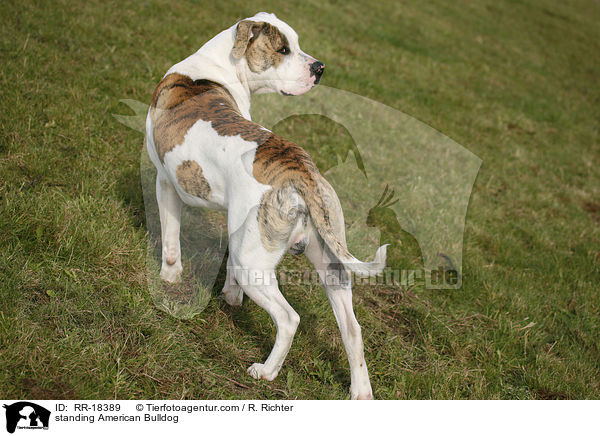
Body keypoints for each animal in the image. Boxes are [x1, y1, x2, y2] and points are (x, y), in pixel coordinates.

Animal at [147, 11, 386, 398]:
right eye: (285, 48)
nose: (319, 67)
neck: (216, 66)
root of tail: (301, 172)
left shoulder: (165, 182)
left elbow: (171, 242)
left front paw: (169, 280)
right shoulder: (236, 225)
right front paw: (230, 298)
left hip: (255, 267)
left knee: (289, 319)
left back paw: (266, 371)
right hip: (332, 264)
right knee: (352, 330)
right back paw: (360, 392)